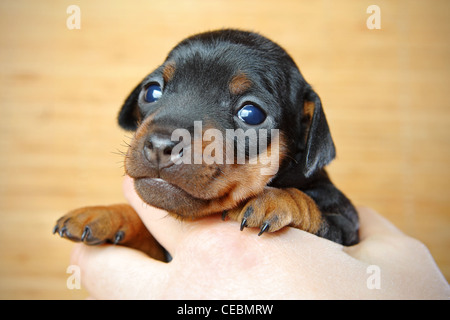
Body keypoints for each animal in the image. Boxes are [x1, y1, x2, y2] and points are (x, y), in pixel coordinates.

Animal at [54, 28, 360, 262]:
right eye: (152, 92)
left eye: (251, 113)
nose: (160, 145)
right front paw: (106, 213)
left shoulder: (345, 227)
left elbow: (310, 206)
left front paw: (276, 198)